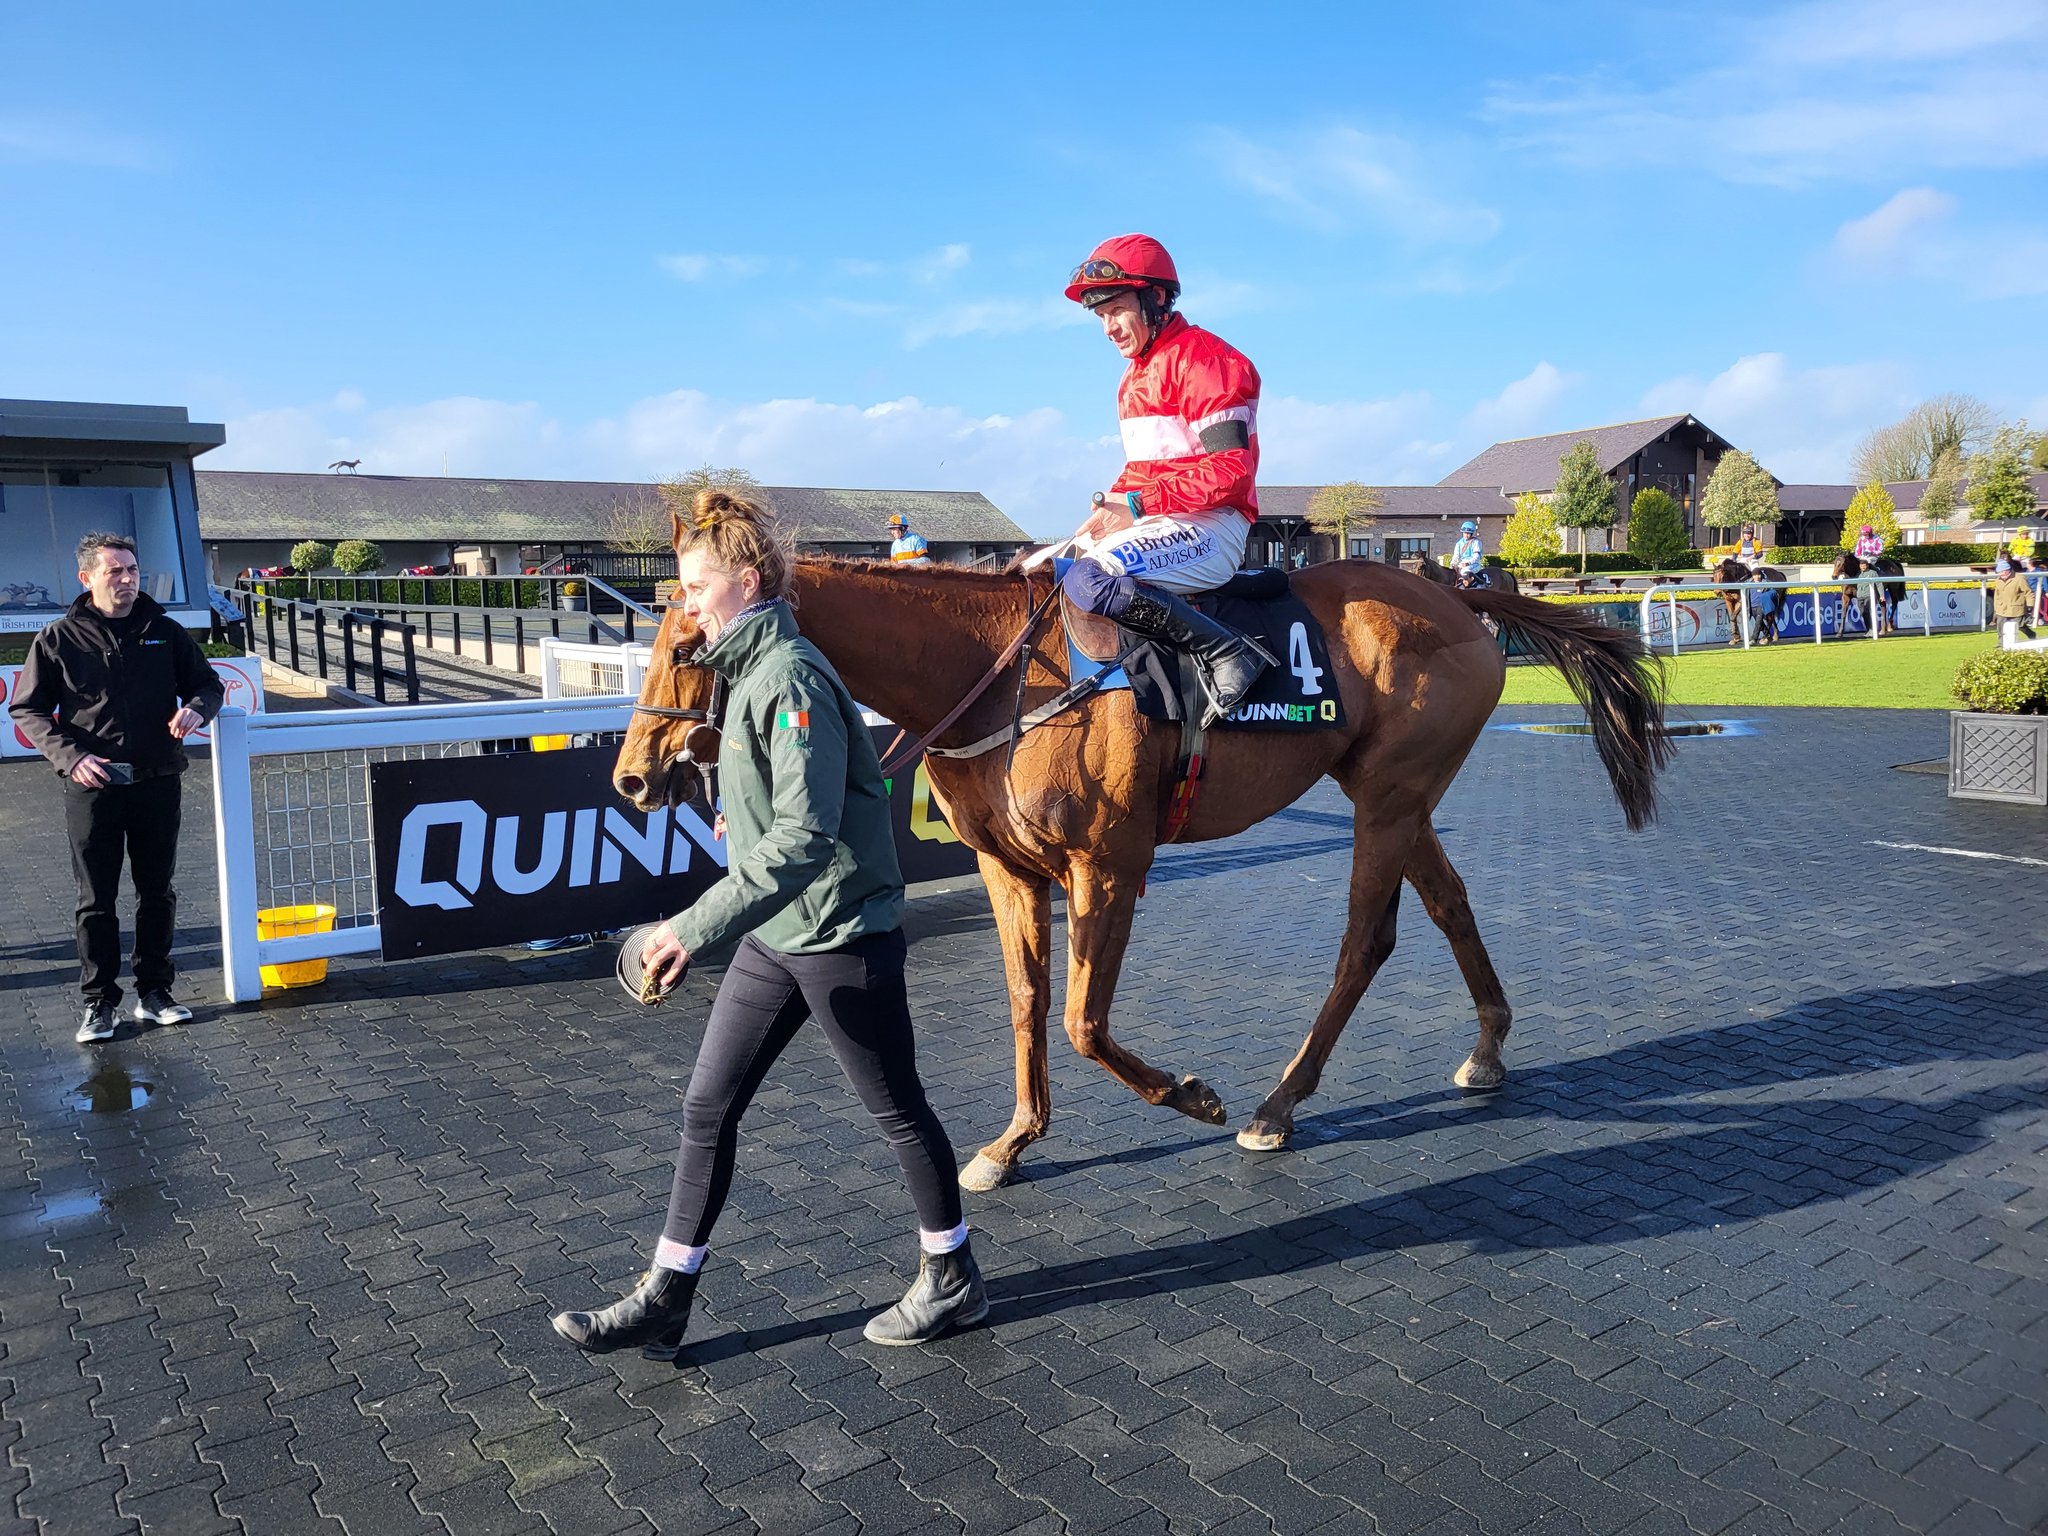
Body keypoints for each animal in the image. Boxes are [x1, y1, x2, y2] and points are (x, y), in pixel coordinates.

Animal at [614, 552, 1671, 1187]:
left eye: (689, 643)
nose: (631, 775)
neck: (998, 672)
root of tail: (1454, 593)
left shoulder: (1109, 863)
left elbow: (1084, 1020)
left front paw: (1191, 1096)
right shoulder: (1010, 869)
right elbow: (1030, 1003)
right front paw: (1012, 1142)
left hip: (1389, 797)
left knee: (1365, 941)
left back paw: (1277, 1104)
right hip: (1396, 795)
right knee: (1449, 903)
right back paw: (1487, 1046)